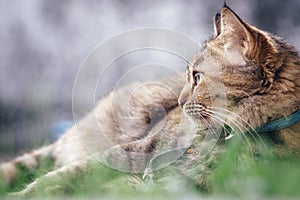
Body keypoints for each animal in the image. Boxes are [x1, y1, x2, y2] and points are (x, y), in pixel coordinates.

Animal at [0, 5, 300, 197]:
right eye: (189, 75)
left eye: (197, 77)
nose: (179, 101)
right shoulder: (139, 148)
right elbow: (69, 174)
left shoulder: (182, 183)